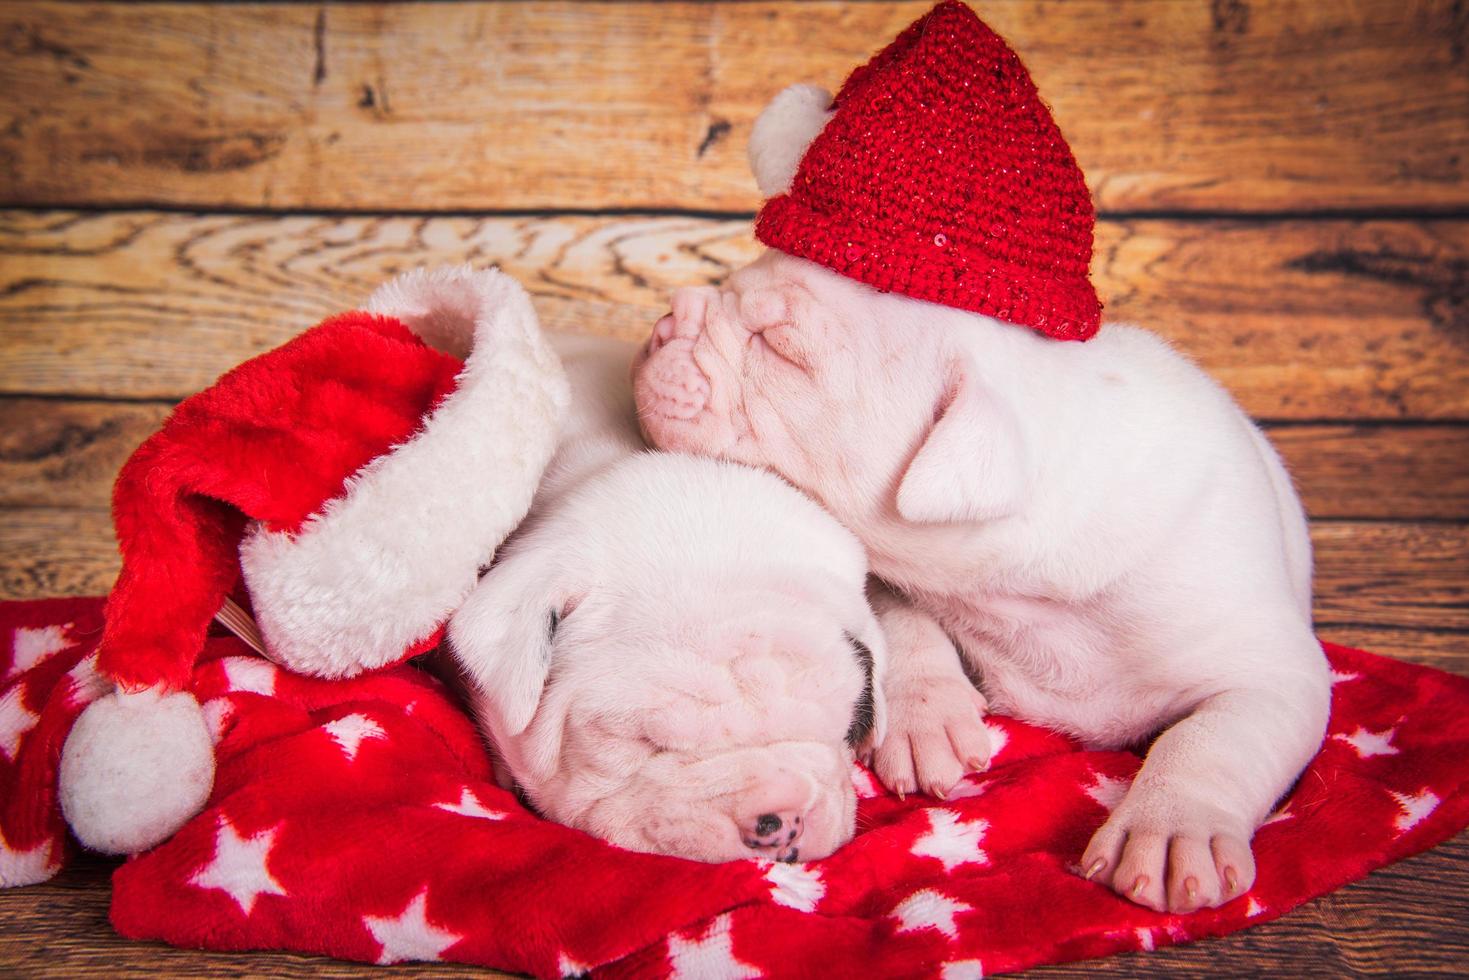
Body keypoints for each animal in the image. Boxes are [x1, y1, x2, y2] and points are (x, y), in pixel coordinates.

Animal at [637, 3, 1327, 916]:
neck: (1022, 593)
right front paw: (926, 715)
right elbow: (903, 615)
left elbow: (1217, 735)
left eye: (781, 351)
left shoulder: (1272, 667)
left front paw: (1168, 825)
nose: (666, 320)